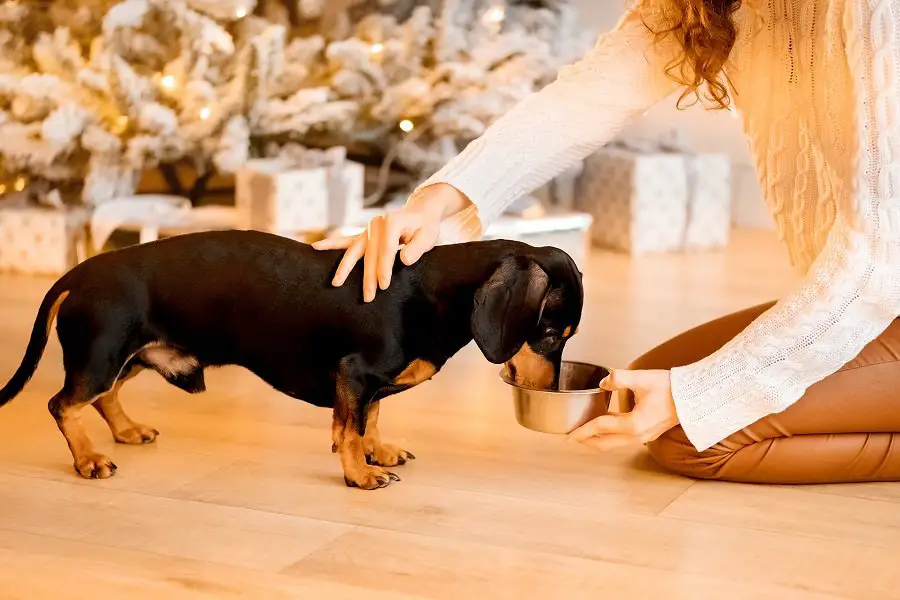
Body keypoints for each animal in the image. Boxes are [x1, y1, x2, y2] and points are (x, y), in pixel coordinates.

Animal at [0, 230, 584, 488]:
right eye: (547, 333)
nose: (550, 391)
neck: (427, 289)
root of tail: (78, 273)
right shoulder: (355, 372)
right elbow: (349, 428)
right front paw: (360, 472)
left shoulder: (369, 383)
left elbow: (372, 416)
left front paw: (378, 451)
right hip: (103, 353)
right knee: (63, 404)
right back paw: (87, 459)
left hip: (131, 355)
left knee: (104, 398)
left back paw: (126, 431)